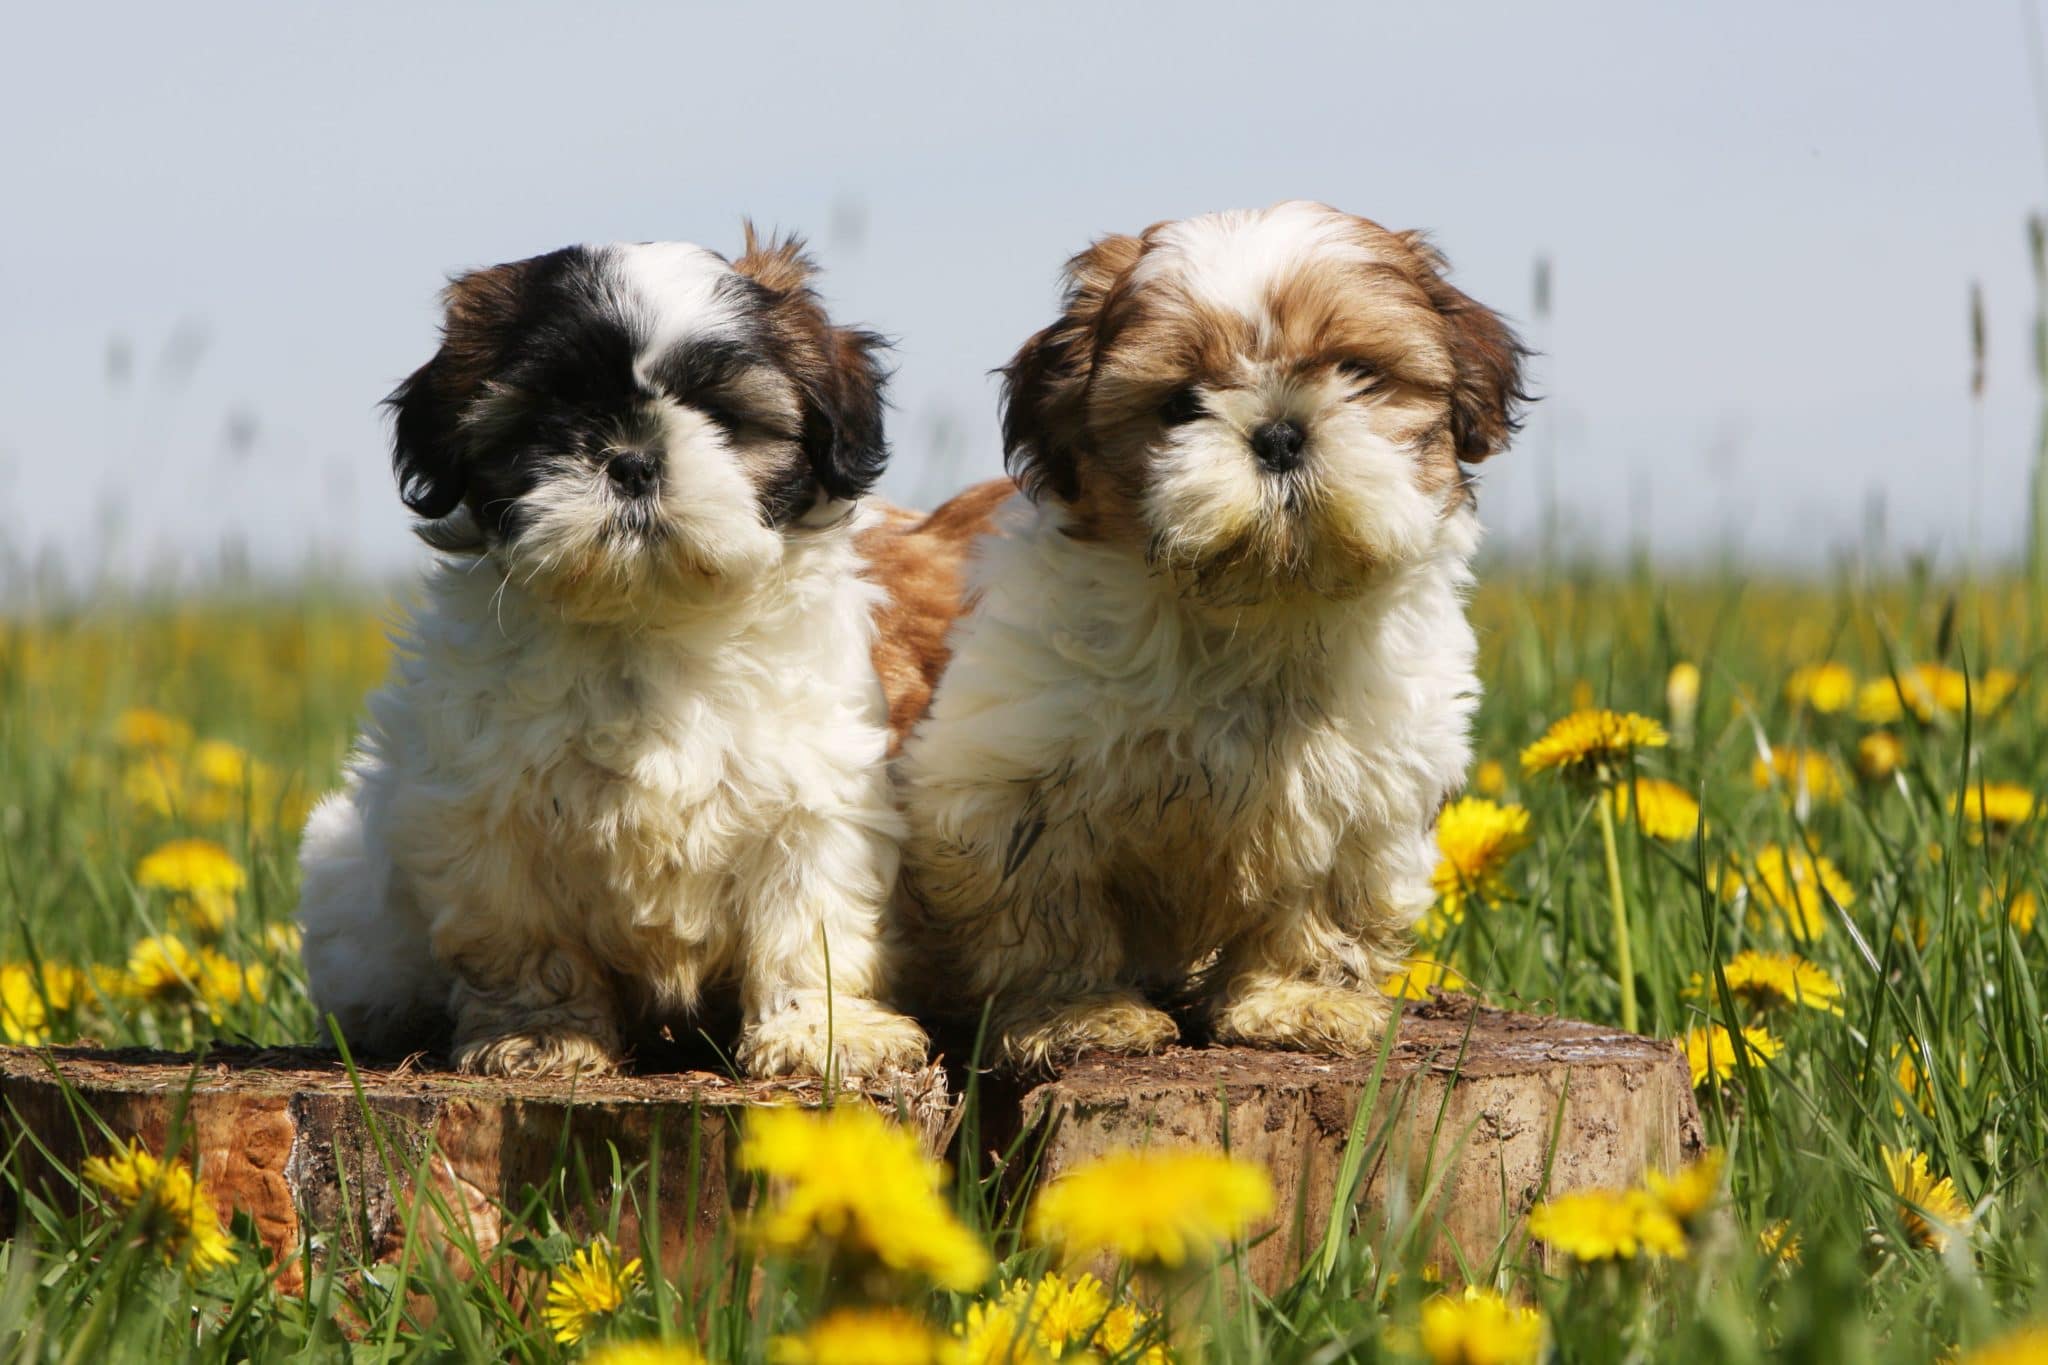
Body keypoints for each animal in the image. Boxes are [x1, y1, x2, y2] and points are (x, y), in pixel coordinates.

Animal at [299, 229, 929, 1080]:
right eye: (549, 417)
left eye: (722, 414)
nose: (630, 458)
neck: (644, 619)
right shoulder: (483, 809)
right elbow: (523, 933)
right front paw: (541, 1033)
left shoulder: (819, 792)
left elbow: (810, 914)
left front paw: (820, 1031)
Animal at [872, 200, 1531, 1064]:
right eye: (1181, 403)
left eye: (1358, 373)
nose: (1280, 432)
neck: (1261, 611)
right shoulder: (998, 780)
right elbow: (1046, 904)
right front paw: (1079, 1012)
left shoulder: (1366, 792)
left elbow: (1322, 903)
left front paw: (1295, 999)